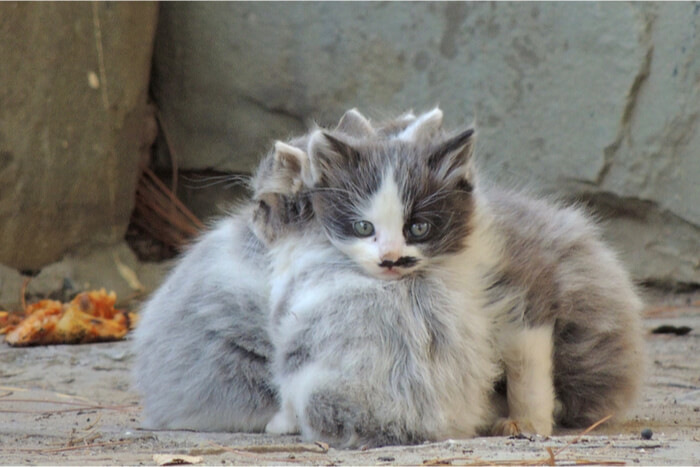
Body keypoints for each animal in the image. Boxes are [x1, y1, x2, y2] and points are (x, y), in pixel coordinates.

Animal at [252, 115, 498, 448]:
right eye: (363, 227)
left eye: (263, 204)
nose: (252, 218)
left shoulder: (286, 325)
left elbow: (285, 393)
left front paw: (279, 424)